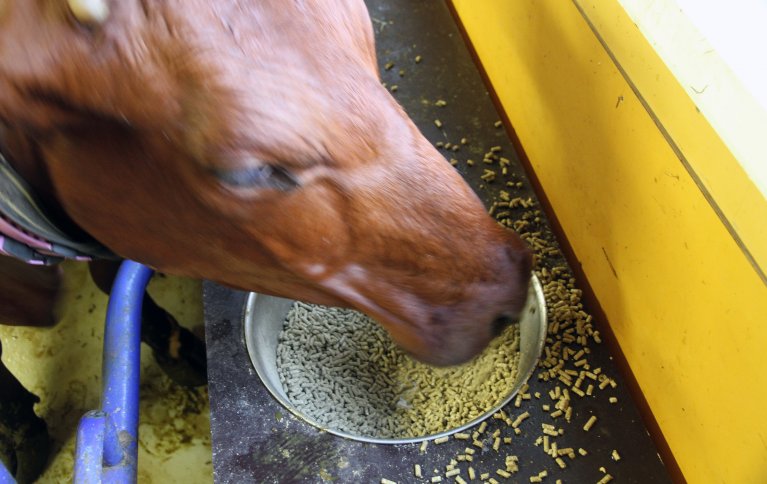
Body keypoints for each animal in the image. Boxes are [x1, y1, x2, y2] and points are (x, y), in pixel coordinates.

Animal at [0, 0, 532, 480]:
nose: (509, 284)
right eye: (246, 171)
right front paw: (24, 436)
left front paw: (177, 350)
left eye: (365, 32)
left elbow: (114, 279)